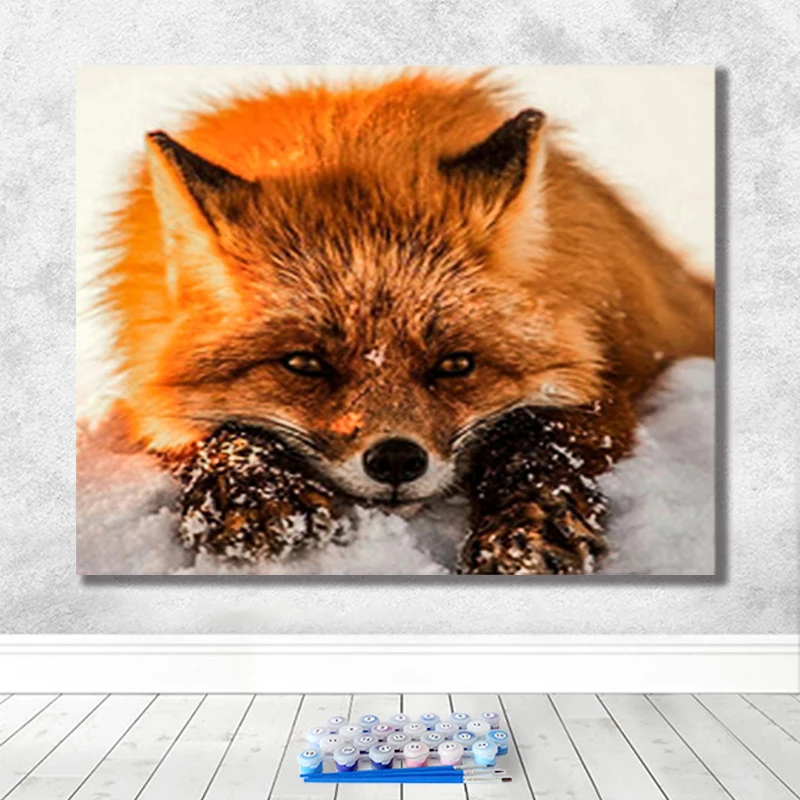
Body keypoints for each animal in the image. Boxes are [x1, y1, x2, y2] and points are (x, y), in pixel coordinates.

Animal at [100, 70, 714, 574]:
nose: (396, 460)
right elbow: (225, 433)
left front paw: (528, 525)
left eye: (456, 364)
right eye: (304, 364)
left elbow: (539, 438)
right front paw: (257, 495)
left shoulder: (611, 381)